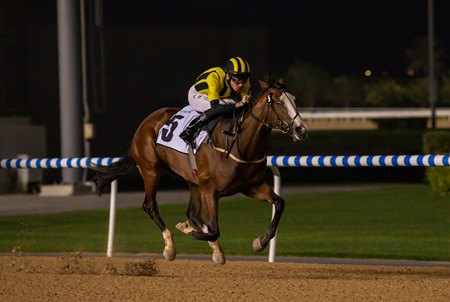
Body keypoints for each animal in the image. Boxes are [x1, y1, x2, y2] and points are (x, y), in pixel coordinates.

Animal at [92, 76, 308, 264]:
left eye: (295, 100)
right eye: (279, 102)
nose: (301, 130)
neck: (239, 143)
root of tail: (145, 123)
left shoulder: (251, 186)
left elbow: (279, 203)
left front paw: (260, 242)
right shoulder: (210, 191)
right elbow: (214, 229)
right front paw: (187, 231)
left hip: (193, 181)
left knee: (193, 213)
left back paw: (215, 250)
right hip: (150, 170)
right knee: (150, 206)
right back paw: (170, 247)